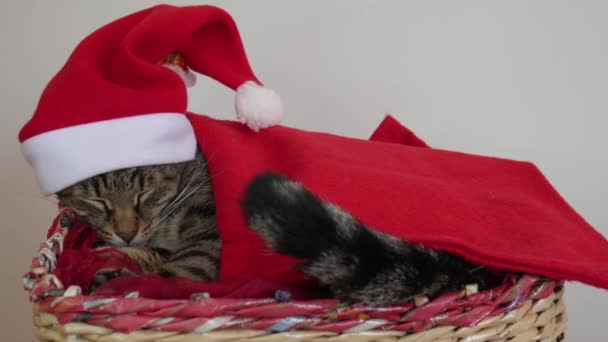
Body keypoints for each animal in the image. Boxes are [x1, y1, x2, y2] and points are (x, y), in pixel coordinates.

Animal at [57, 150, 492, 304]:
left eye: (144, 192)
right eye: (96, 202)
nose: (126, 230)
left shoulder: (209, 238)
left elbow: (178, 270)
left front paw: (122, 278)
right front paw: (112, 255)